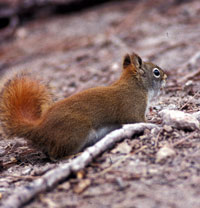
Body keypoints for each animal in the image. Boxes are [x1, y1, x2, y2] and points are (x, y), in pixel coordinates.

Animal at [0, 52, 166, 158]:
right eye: (156, 72)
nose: (166, 77)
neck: (135, 86)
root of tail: (39, 129)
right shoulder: (132, 107)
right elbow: (137, 120)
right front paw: (155, 123)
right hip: (75, 132)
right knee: (55, 156)